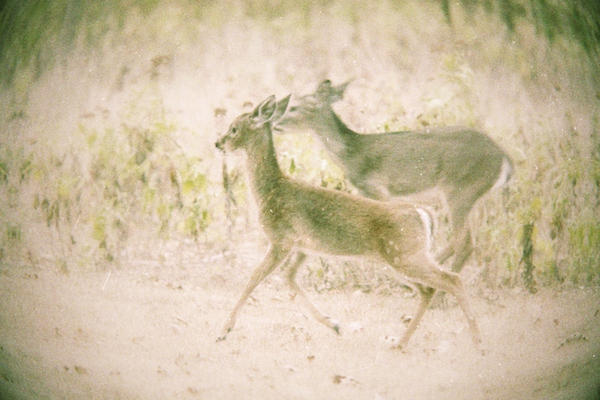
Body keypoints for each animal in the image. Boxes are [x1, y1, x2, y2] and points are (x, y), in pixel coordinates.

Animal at [213, 94, 480, 350]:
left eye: (234, 128)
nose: (218, 143)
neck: (271, 190)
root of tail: (424, 214)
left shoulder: (282, 238)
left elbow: (254, 278)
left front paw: (224, 331)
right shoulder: (304, 247)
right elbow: (290, 278)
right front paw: (335, 325)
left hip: (405, 255)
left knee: (451, 280)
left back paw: (477, 341)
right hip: (398, 259)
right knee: (428, 289)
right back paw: (400, 342)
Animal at [278, 79, 512, 304]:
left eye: (294, 106)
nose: (276, 124)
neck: (353, 154)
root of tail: (504, 159)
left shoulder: (378, 190)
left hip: (460, 189)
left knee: (464, 242)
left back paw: (437, 296)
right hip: (470, 195)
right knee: (464, 241)